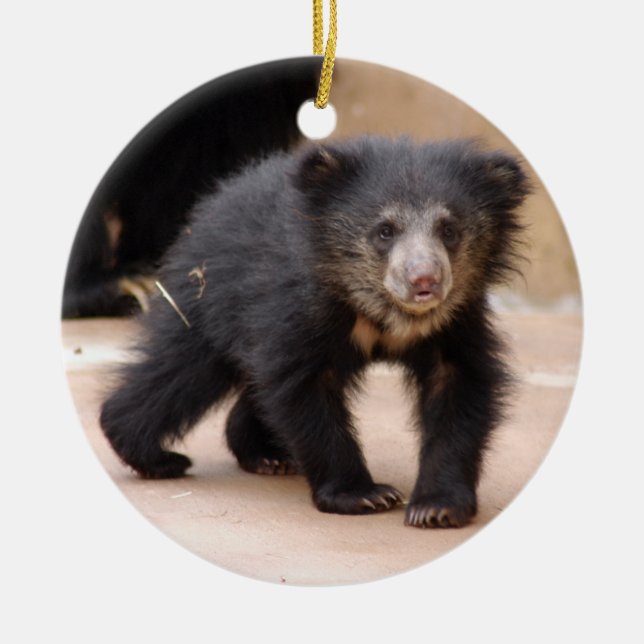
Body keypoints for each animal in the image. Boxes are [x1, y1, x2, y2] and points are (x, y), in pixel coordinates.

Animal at [99, 136, 530, 528]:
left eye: (450, 230)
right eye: (385, 231)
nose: (425, 281)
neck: (383, 308)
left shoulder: (456, 319)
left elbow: (458, 384)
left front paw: (436, 507)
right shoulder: (300, 303)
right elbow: (302, 386)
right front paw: (363, 495)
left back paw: (266, 456)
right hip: (208, 295)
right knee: (181, 370)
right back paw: (153, 455)